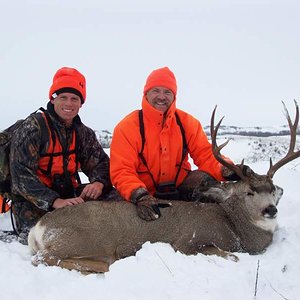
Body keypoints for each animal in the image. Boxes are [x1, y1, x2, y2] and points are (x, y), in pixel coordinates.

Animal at [28, 101, 300, 274]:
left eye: (273, 189)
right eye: (249, 192)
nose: (271, 210)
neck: (236, 230)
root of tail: (38, 228)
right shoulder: (188, 242)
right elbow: (230, 256)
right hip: (85, 239)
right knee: (44, 258)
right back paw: (106, 265)